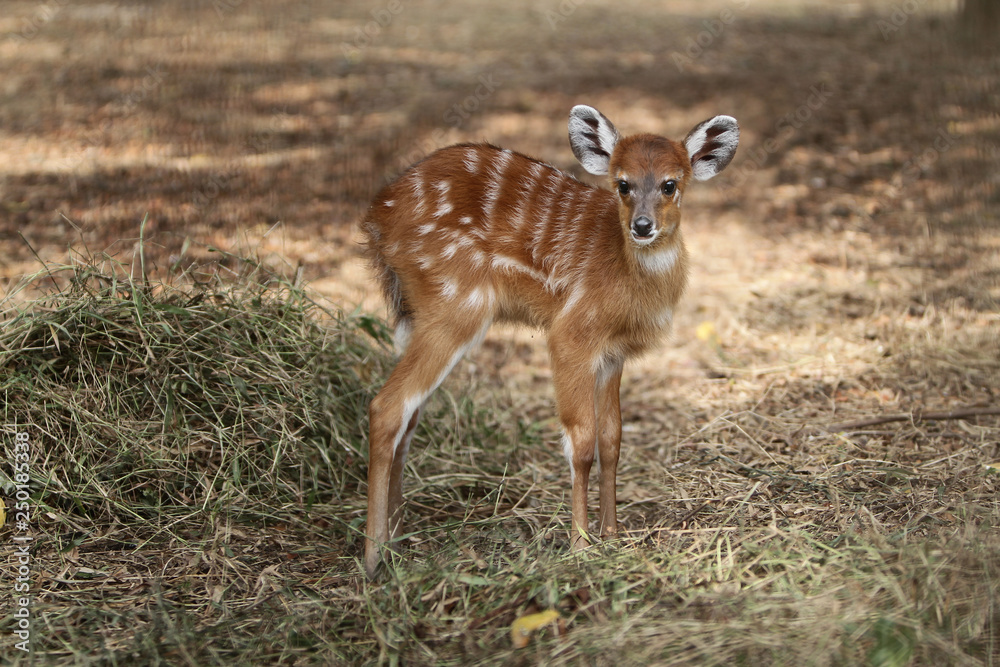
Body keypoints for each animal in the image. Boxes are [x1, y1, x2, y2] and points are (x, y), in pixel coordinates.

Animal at [364, 105, 740, 580]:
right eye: (622, 183)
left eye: (670, 184)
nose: (642, 226)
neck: (627, 277)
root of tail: (376, 219)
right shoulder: (571, 334)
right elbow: (581, 443)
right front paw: (581, 547)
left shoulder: (613, 354)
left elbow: (612, 440)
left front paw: (612, 535)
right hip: (455, 304)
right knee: (388, 406)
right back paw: (373, 559)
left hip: (421, 314)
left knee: (410, 415)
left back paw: (398, 542)